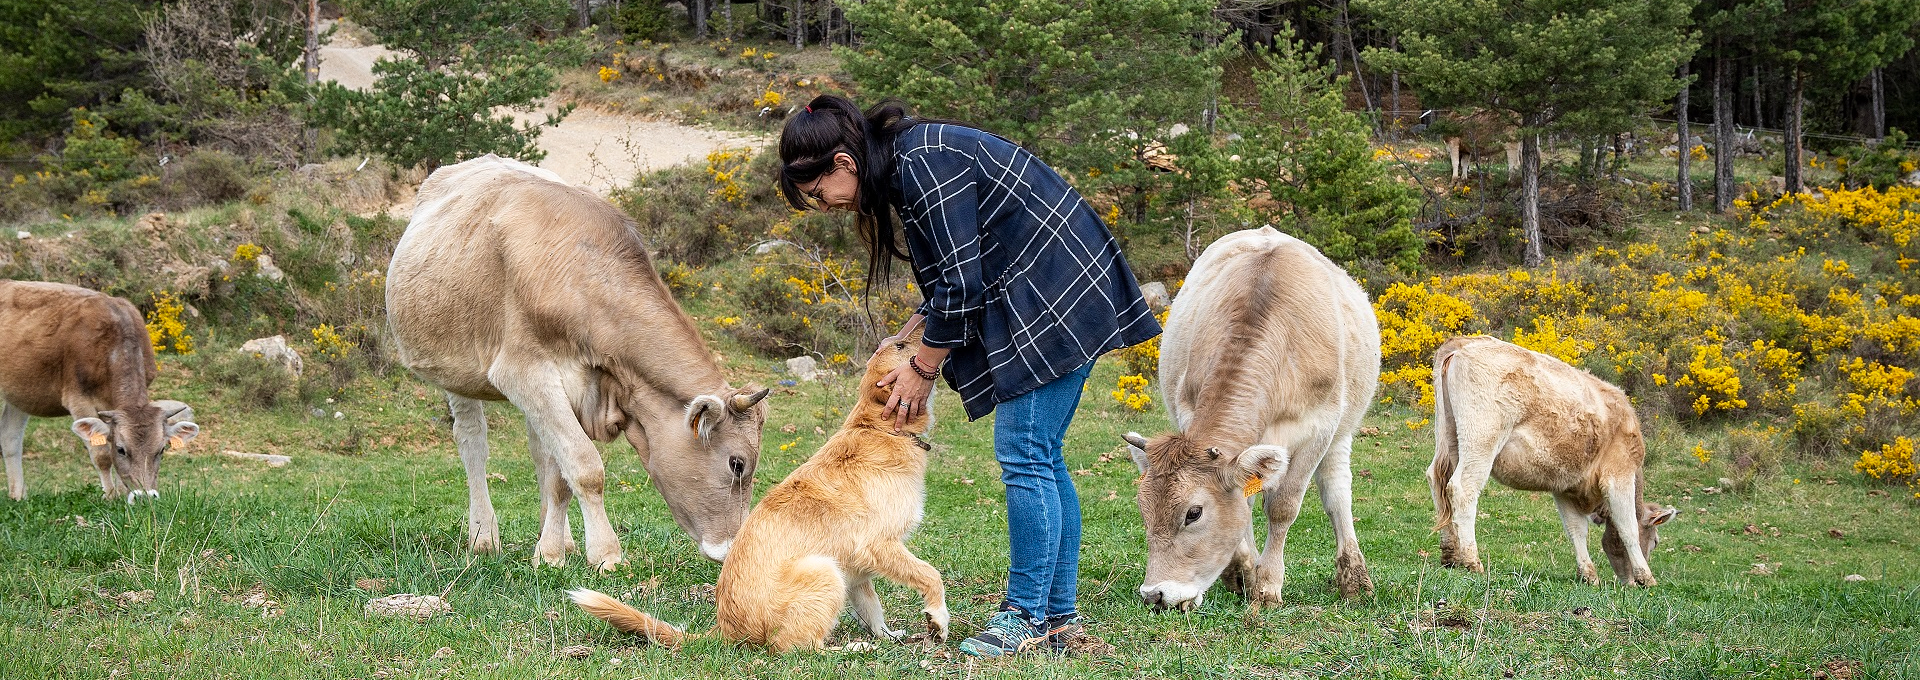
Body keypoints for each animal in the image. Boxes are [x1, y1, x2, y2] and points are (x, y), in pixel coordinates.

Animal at [0, 278, 202, 503]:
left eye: (161, 450)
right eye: (121, 450)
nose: (145, 497)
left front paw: (124, 494)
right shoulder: (78, 399)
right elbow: (102, 454)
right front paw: (111, 496)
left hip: (20, 393)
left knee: (10, 436)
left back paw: (18, 495)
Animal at [385, 153, 768, 568]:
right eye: (737, 463)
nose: (732, 549)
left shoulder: (574, 387)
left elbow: (560, 476)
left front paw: (550, 551)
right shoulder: (525, 372)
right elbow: (585, 468)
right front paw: (606, 554)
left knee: (539, 451)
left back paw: (559, 537)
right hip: (455, 367)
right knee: (472, 442)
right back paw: (483, 536)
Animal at [572, 326, 956, 649]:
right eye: (901, 346)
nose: (929, 326)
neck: (879, 427)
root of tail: (725, 629)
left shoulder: (858, 572)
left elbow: (872, 611)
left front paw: (887, 635)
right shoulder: (880, 545)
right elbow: (931, 575)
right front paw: (937, 619)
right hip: (824, 572)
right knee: (798, 647)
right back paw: (851, 648)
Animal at [1121, 226, 1382, 610]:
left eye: (1194, 513)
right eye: (1143, 509)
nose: (1156, 593)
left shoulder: (1318, 428)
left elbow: (1283, 507)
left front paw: (1269, 585)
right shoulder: (1190, 413)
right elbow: (1241, 502)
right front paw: (1242, 572)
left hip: (1343, 431)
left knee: (1337, 493)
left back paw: (1354, 578)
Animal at [1428, 334, 1681, 583]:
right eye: (1655, 541)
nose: (1628, 583)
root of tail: (1464, 342)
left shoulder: (1566, 486)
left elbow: (1576, 529)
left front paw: (1588, 574)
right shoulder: (1619, 473)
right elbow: (1627, 527)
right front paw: (1646, 577)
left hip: (1449, 439)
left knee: (1437, 479)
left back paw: (1451, 555)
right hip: (1482, 439)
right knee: (1463, 488)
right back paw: (1472, 561)